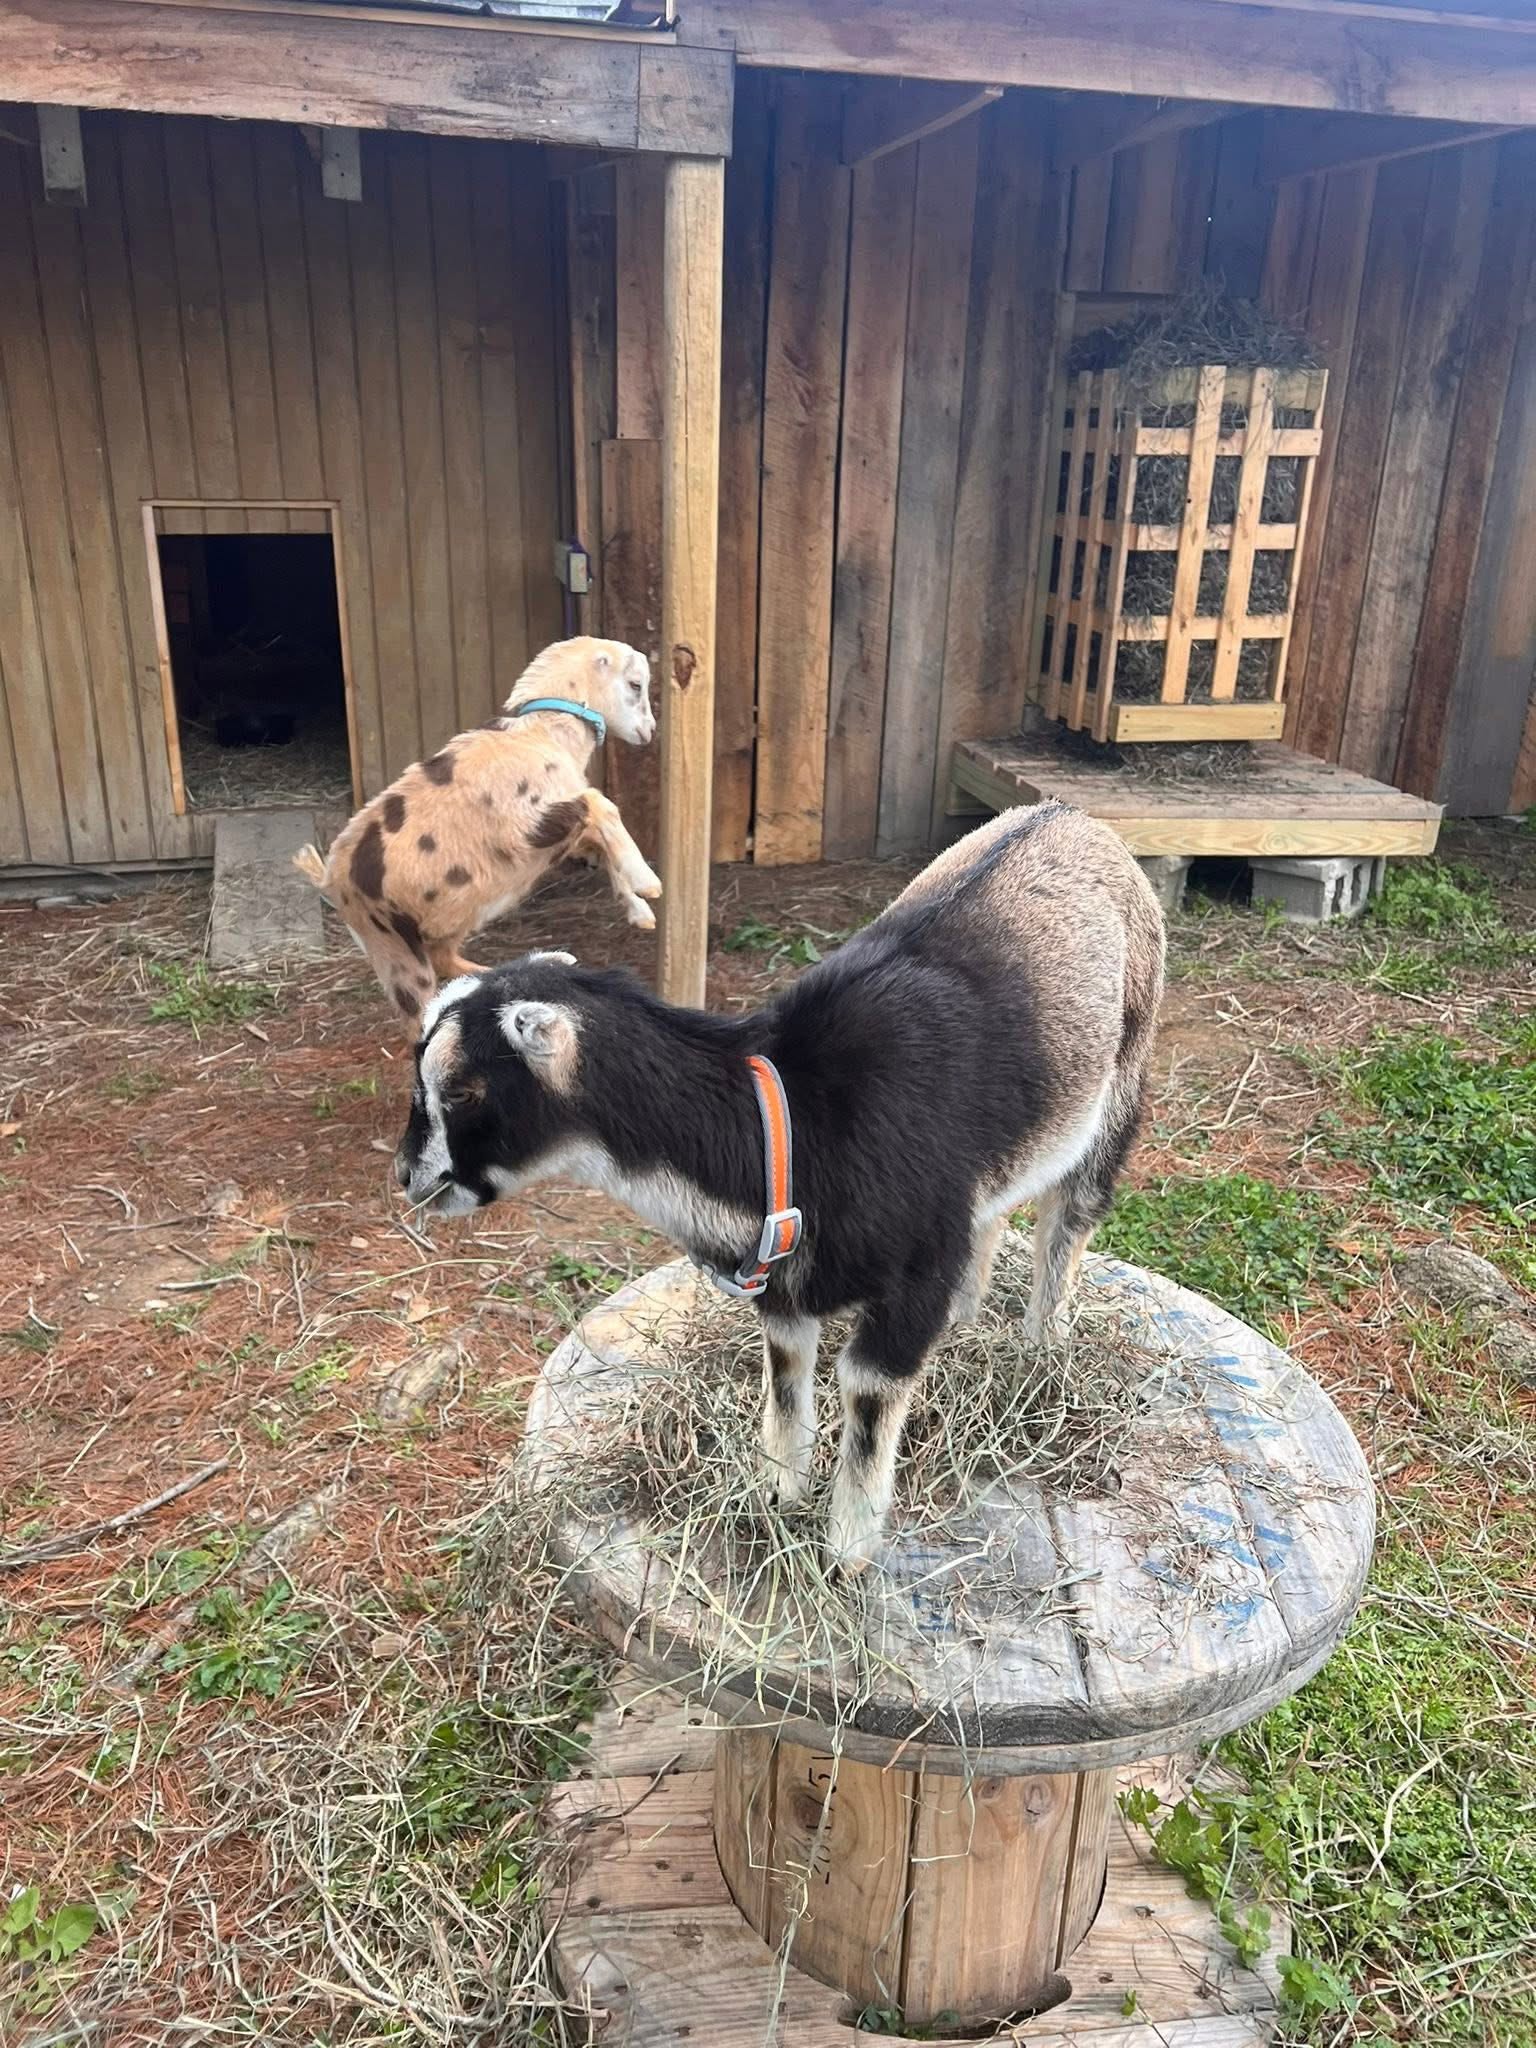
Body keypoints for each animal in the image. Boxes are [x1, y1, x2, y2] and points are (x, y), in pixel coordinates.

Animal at [294, 637, 659, 1033]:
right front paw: (648, 882)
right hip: (392, 946)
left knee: (445, 960)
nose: (650, 731)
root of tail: (328, 879)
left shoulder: (561, 834)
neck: (540, 735)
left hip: (452, 914)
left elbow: (601, 841)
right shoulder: (524, 828)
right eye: (635, 684)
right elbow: (600, 804)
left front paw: (639, 908)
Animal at [392, 803, 1165, 1568]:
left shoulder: (912, 1277)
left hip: (1124, 1069)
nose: (408, 1175)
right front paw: (776, 1495)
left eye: (461, 1090)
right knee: (995, 1212)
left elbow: (868, 1398)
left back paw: (1042, 1354)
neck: (792, 1120)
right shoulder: (786, 1285)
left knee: (1069, 1217)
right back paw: (969, 1319)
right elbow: (788, 1374)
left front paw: (845, 1553)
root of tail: (1070, 814)